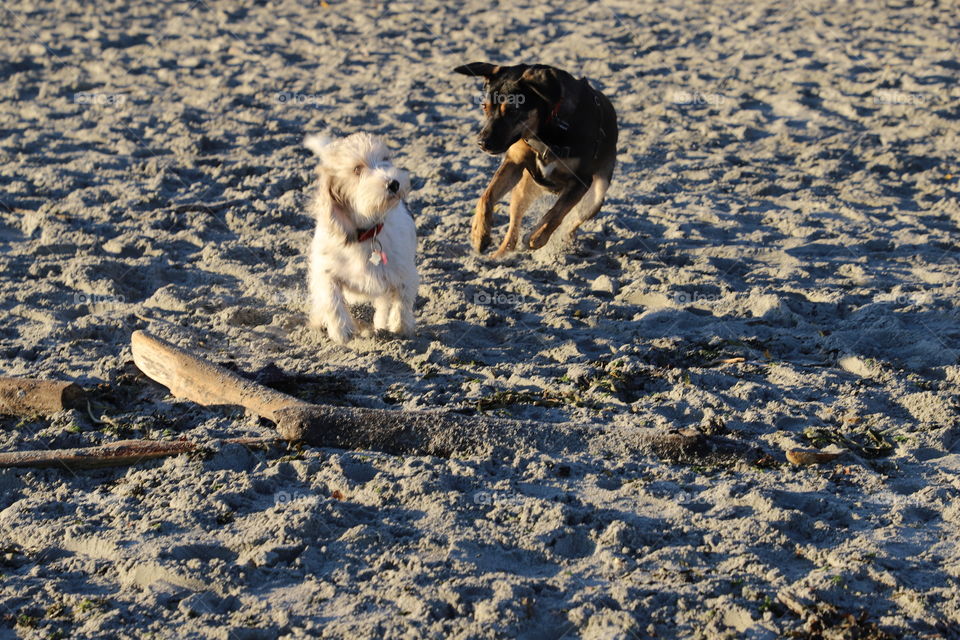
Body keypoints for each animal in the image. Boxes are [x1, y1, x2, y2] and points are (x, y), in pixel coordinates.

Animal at [304, 133, 416, 344]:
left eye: (385, 159)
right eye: (357, 169)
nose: (393, 183)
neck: (367, 232)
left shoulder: (403, 273)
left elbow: (401, 303)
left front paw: (399, 328)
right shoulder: (325, 272)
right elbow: (332, 300)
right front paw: (342, 333)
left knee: (383, 305)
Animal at [454, 62, 620, 258]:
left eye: (512, 110)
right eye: (484, 107)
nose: (482, 143)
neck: (548, 126)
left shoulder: (581, 181)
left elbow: (555, 213)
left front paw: (536, 237)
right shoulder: (514, 162)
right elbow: (486, 196)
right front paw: (479, 234)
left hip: (596, 195)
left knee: (571, 221)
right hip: (522, 190)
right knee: (513, 225)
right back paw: (499, 255)